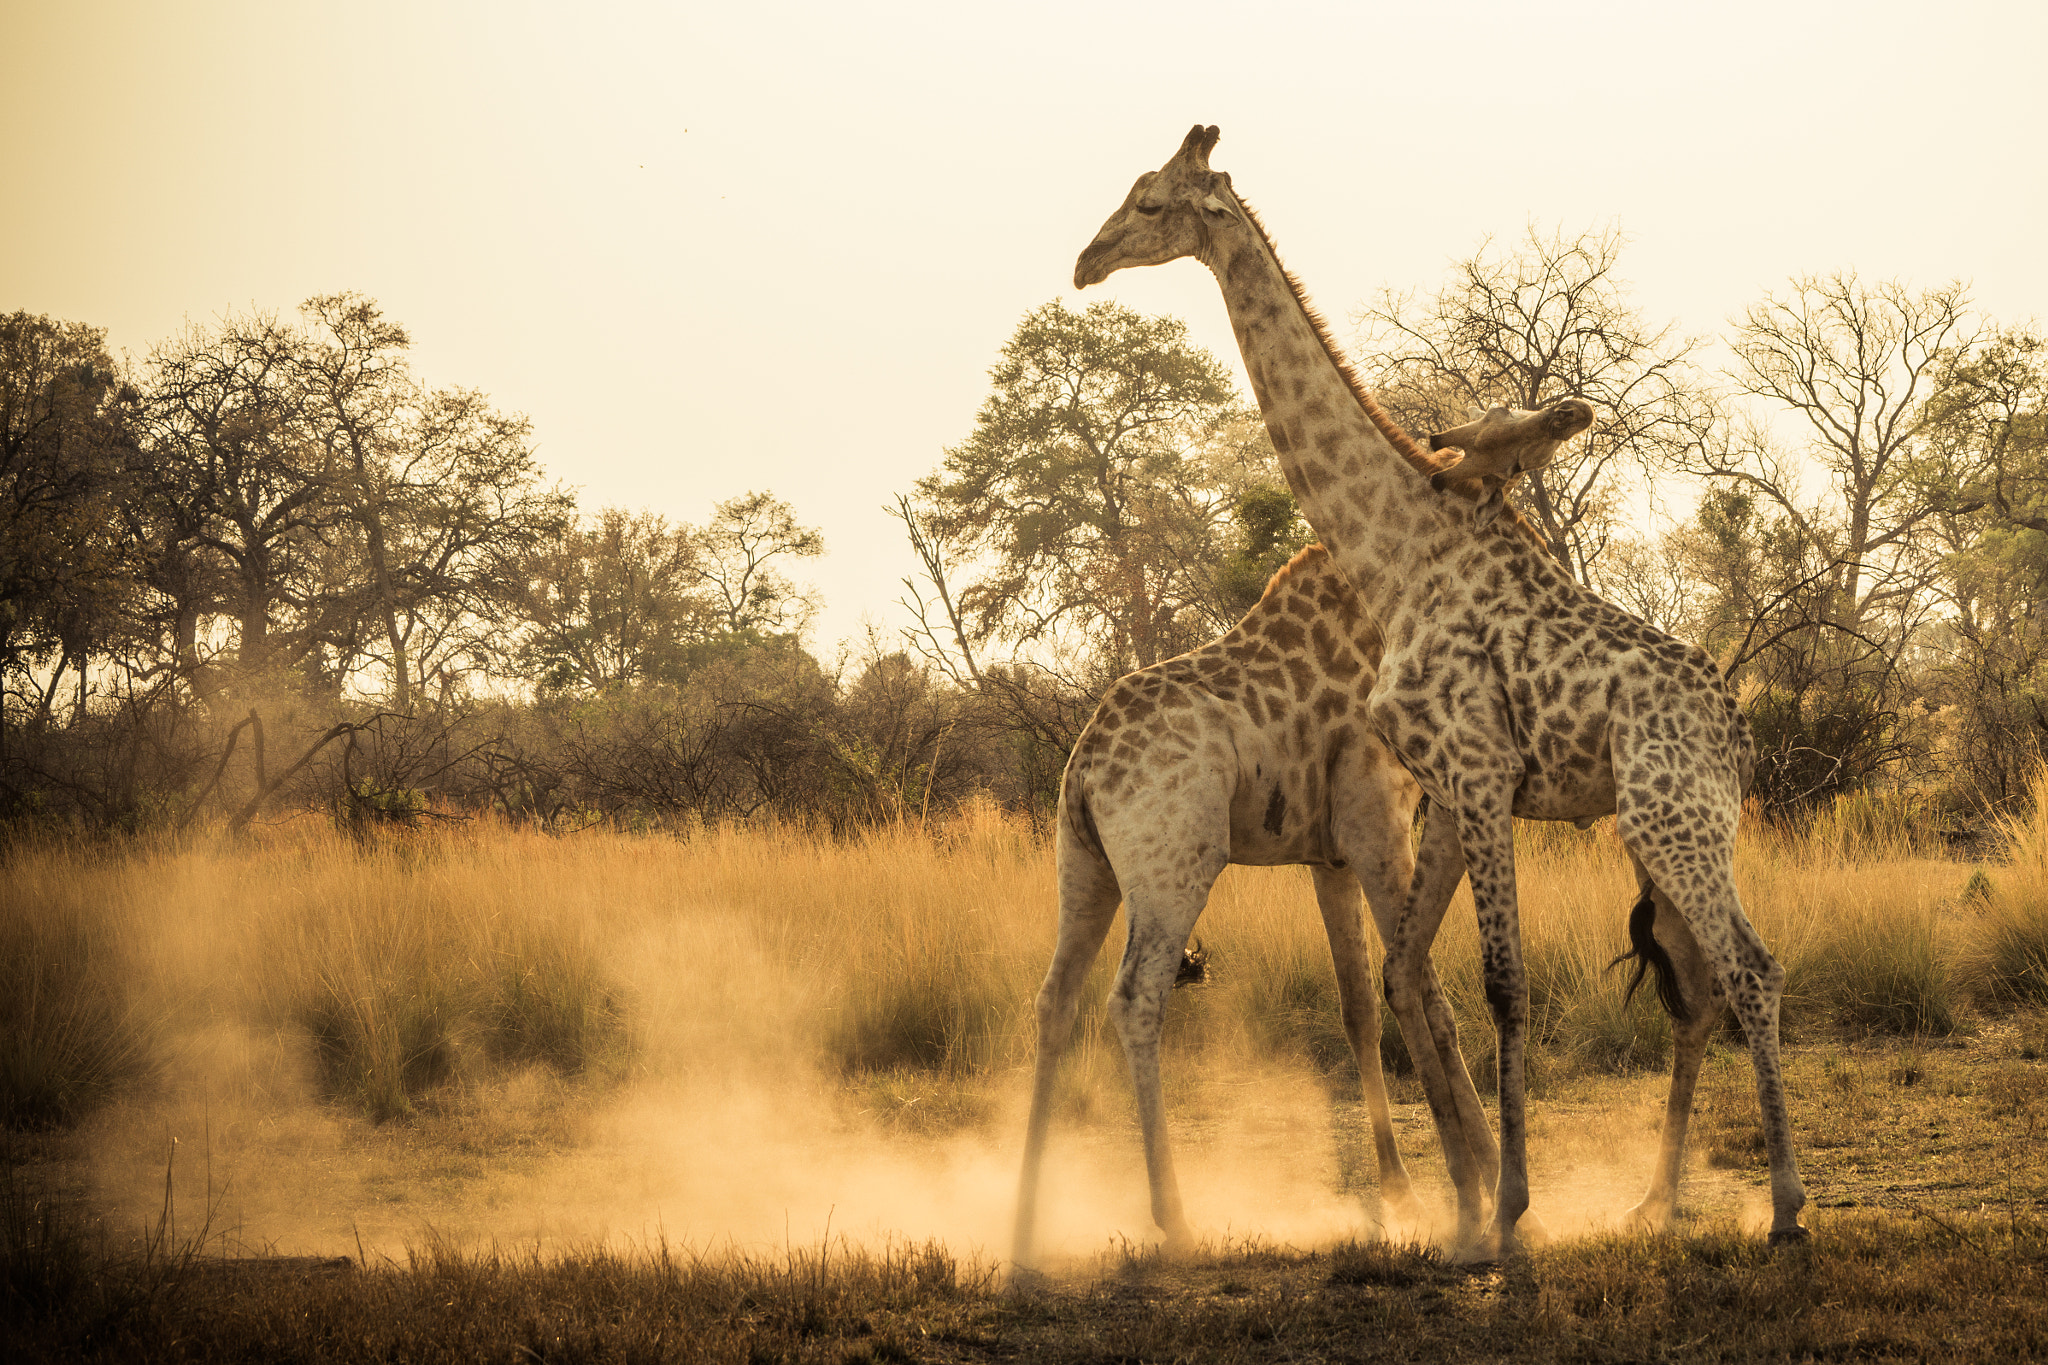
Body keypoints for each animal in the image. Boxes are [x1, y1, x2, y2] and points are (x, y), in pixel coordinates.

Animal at [1073, 127, 1810, 1260]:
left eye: (1151, 204)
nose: (1086, 261)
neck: (1396, 554)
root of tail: (1733, 727)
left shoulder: (1478, 770)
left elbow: (1502, 984)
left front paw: (1507, 1211)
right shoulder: (1444, 793)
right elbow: (1404, 975)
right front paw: (1466, 1213)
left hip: (1675, 816)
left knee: (1750, 969)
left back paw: (1782, 1207)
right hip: (1656, 824)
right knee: (1699, 982)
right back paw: (1660, 1201)